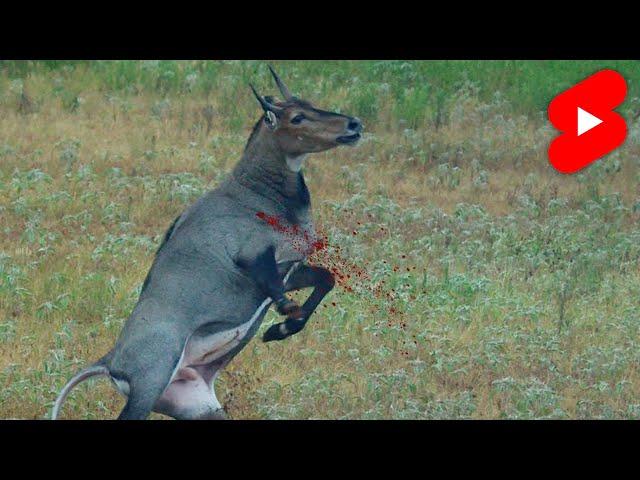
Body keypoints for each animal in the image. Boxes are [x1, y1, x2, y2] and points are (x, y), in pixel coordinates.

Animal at [52, 64, 362, 420]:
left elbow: (326, 279)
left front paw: (277, 331)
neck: (258, 193)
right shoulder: (252, 258)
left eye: (309, 103)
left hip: (199, 407)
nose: (354, 125)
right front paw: (284, 318)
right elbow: (280, 292)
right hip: (148, 388)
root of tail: (109, 361)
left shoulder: (290, 267)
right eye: (296, 117)